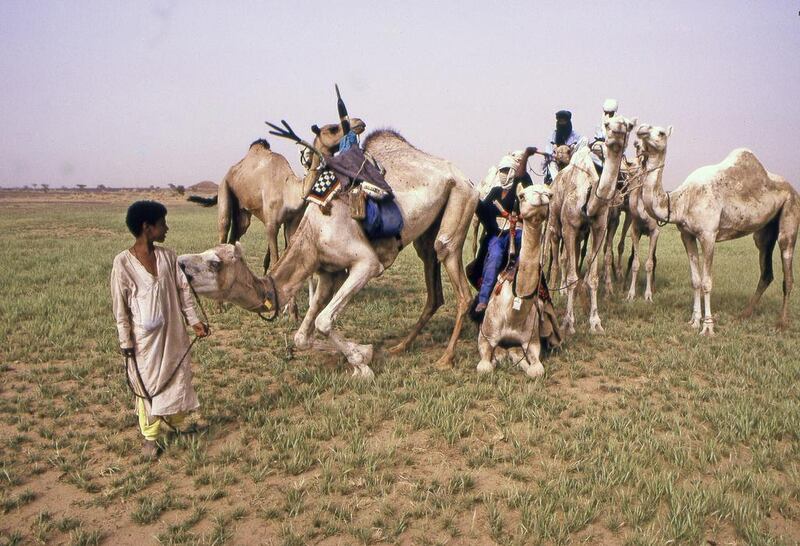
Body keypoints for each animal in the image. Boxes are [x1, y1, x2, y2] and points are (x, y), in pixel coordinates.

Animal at [476, 182, 556, 374]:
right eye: (521, 195)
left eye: (550, 195)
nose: (541, 195)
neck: (512, 313)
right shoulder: (485, 336)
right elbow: (485, 366)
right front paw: (496, 357)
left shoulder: (532, 341)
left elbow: (536, 369)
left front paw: (519, 359)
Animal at [548, 116, 636, 332]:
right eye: (607, 125)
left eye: (629, 125)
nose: (618, 130)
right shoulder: (569, 228)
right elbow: (572, 278)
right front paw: (568, 323)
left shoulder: (598, 229)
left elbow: (593, 278)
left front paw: (595, 322)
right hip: (554, 225)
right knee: (555, 261)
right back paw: (552, 296)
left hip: (581, 234)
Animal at [636, 125, 796, 334]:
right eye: (646, 126)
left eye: (661, 132)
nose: (641, 131)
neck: (682, 200)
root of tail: (792, 189)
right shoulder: (686, 234)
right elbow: (695, 280)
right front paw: (694, 321)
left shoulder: (708, 235)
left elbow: (707, 282)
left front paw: (708, 327)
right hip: (764, 231)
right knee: (766, 270)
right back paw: (744, 314)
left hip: (790, 212)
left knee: (787, 268)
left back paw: (782, 323)